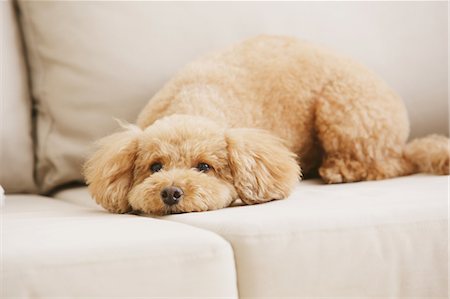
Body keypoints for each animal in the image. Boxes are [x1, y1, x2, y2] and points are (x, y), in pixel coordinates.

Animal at [84, 35, 450, 214]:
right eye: (155, 167)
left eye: (204, 167)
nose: (171, 192)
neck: (195, 99)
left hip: (344, 110)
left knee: (389, 163)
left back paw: (341, 170)